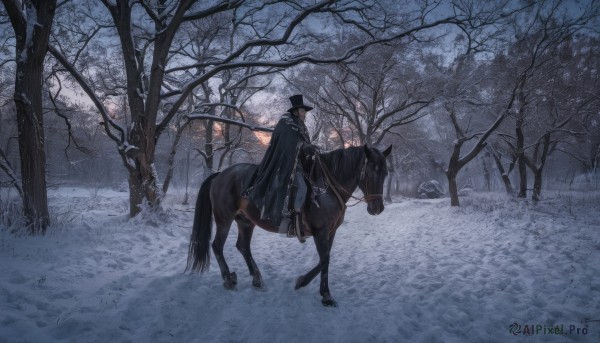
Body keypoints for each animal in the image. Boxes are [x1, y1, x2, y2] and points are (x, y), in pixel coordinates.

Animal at [188, 144, 394, 306]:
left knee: (243, 247)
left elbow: (325, 259)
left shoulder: (331, 232)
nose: (377, 208)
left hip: (245, 222)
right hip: (224, 219)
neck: (326, 188)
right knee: (217, 246)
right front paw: (314, 288)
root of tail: (220, 175)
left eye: (385, 173)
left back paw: (256, 279)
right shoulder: (320, 232)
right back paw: (228, 280)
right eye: (369, 172)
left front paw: (317, 290)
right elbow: (325, 260)